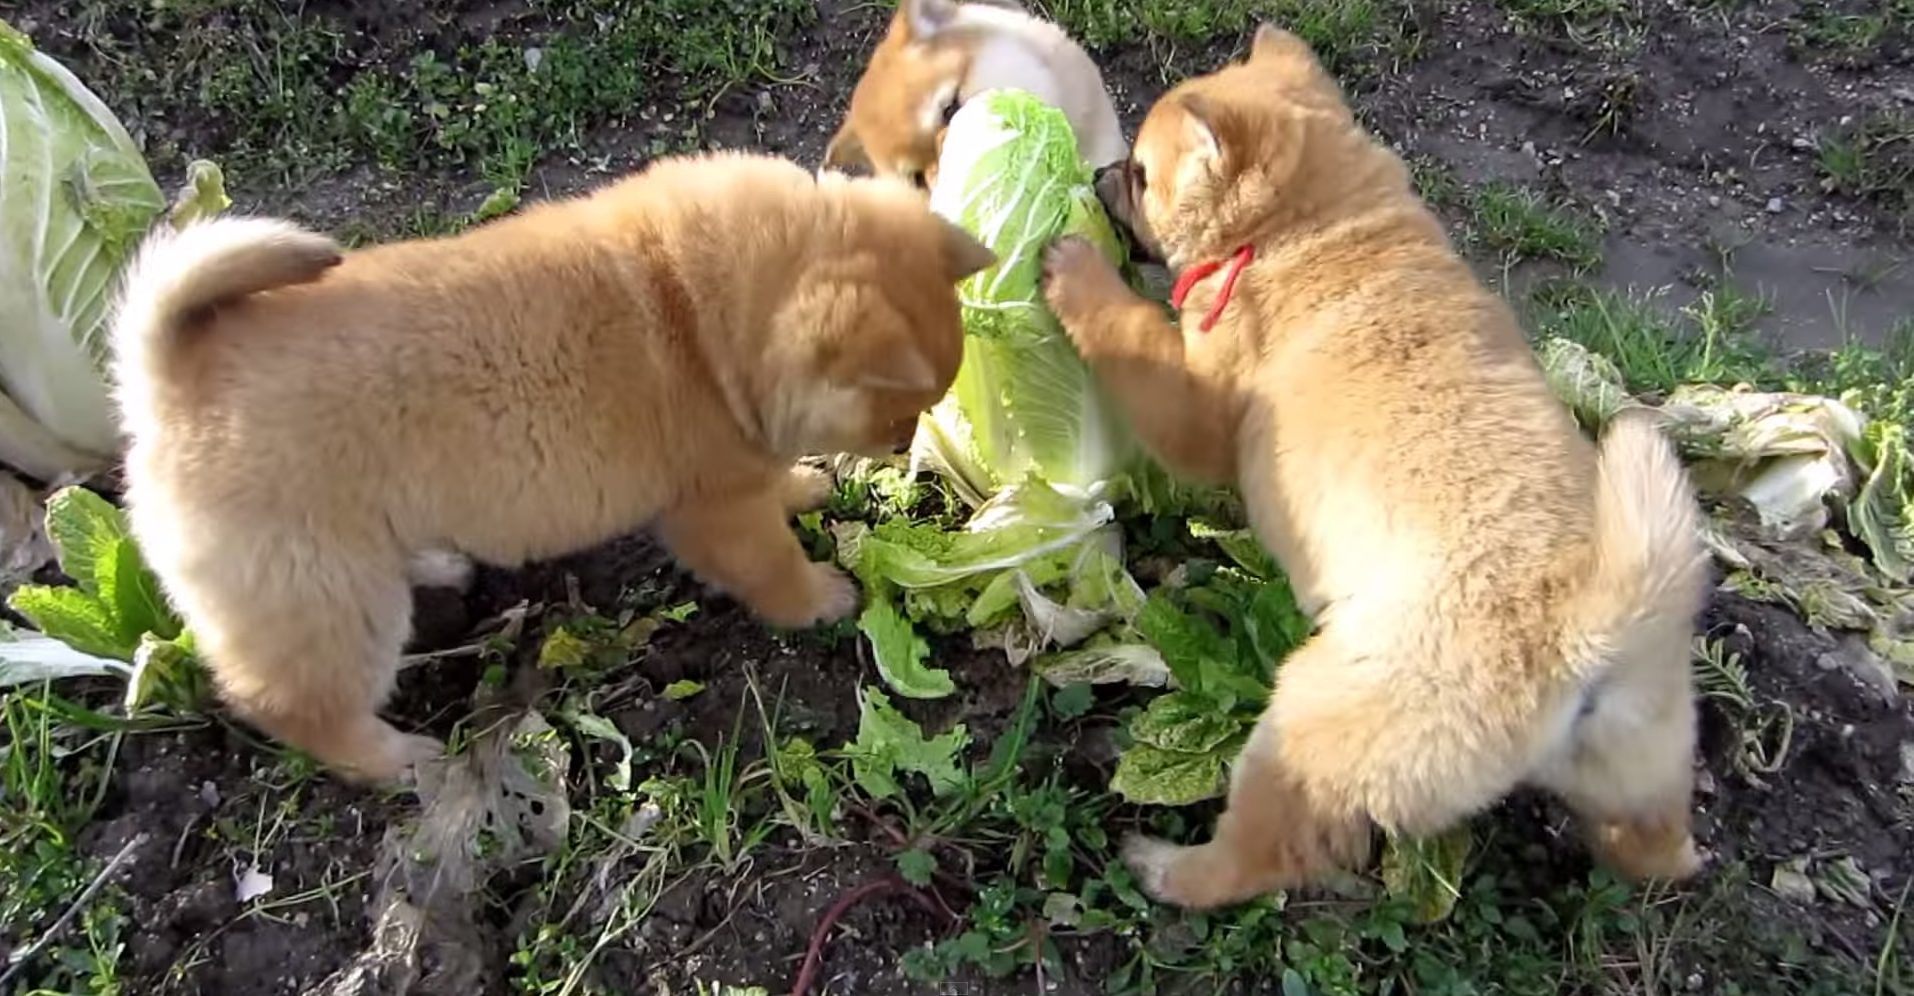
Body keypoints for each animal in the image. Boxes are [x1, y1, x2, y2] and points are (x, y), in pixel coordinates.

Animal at [110, 151, 1002, 781]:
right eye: (896, 414)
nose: (904, 444)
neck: (701, 314)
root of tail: (170, 380)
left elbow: (776, 483)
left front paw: (804, 482)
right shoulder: (715, 509)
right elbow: (771, 566)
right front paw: (819, 597)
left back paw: (437, 567)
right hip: (323, 597)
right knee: (295, 706)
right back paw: (396, 761)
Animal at [1041, 25, 1714, 911]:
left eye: (1143, 174)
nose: (1097, 175)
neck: (1310, 228)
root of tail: (1585, 636)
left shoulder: (1194, 405)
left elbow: (1131, 332)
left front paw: (1076, 270)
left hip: (1309, 718)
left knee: (1263, 853)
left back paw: (1165, 867)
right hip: (1644, 758)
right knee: (1653, 842)